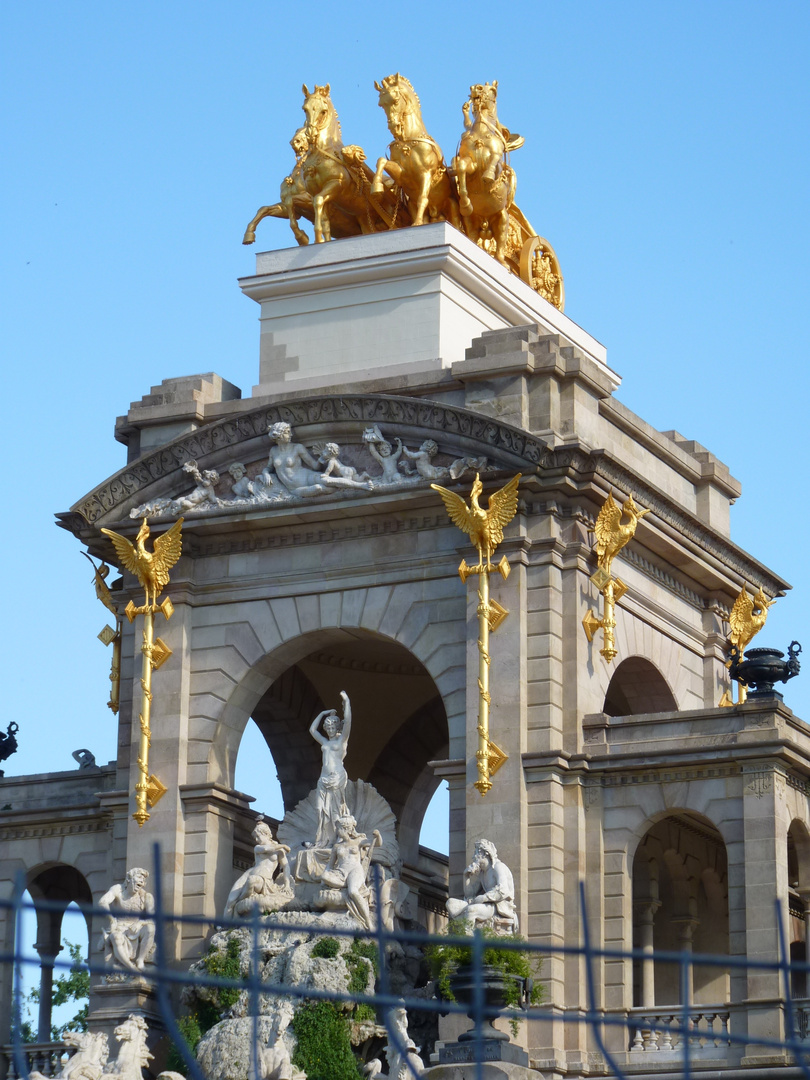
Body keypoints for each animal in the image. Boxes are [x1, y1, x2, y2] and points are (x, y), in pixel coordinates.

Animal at [371, 72, 460, 228]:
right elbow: (381, 161)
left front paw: (417, 223)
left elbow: (423, 198)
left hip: (453, 209)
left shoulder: (426, 173)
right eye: (381, 105)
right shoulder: (402, 174)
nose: (393, 127)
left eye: (395, 101)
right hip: (412, 206)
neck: (407, 141)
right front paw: (376, 188)